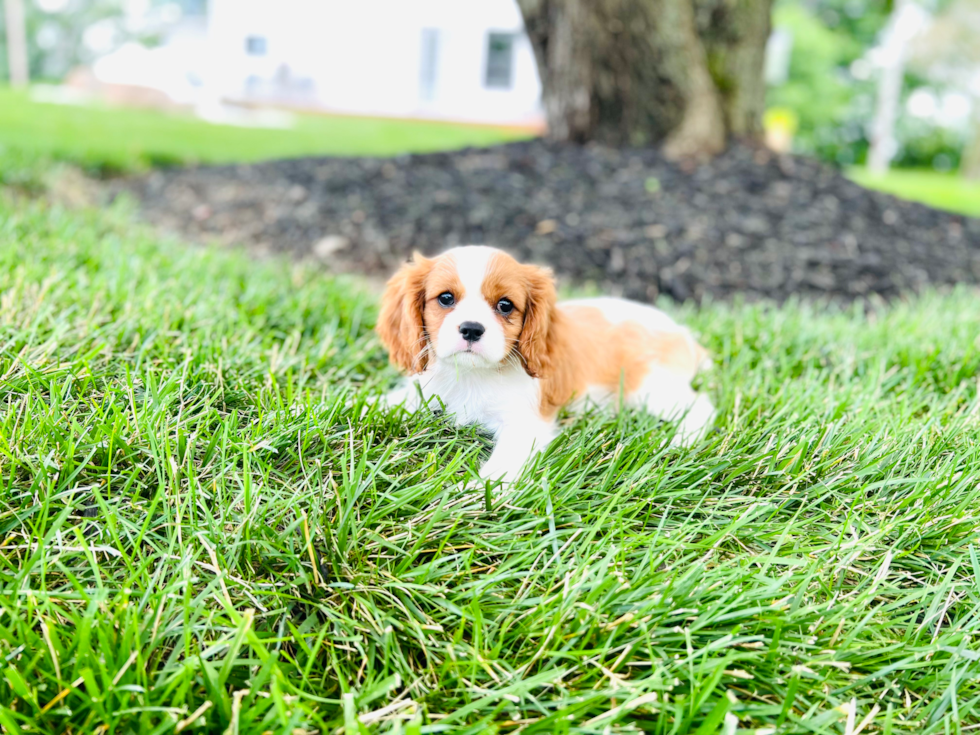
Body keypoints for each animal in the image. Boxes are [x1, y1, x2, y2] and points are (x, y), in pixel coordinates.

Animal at [376, 247, 712, 486]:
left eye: (505, 305)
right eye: (445, 298)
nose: (471, 329)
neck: (472, 375)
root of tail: (682, 333)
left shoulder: (525, 425)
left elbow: (501, 467)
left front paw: (471, 497)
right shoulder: (421, 390)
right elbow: (383, 403)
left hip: (650, 386)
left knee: (701, 405)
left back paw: (680, 440)